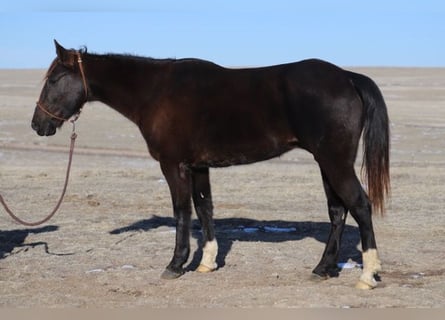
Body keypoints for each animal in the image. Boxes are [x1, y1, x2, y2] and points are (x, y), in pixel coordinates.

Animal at [31, 41, 388, 288]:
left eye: (54, 80)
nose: (37, 124)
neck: (155, 92)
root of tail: (347, 78)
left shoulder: (174, 165)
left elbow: (182, 212)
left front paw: (176, 264)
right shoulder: (199, 166)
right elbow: (205, 208)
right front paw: (207, 262)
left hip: (335, 162)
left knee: (359, 205)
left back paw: (368, 274)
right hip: (326, 163)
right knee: (338, 211)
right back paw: (323, 269)